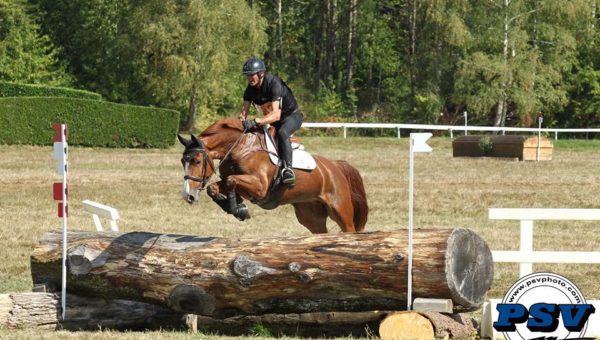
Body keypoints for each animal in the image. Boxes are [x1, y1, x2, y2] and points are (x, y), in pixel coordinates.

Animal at [176, 117, 368, 234]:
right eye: (182, 161)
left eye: (197, 161)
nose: (188, 196)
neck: (241, 148)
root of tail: (336, 165)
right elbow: (214, 187)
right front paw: (238, 208)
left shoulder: (260, 187)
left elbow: (231, 181)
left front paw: (238, 209)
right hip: (310, 215)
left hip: (340, 209)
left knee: (349, 229)